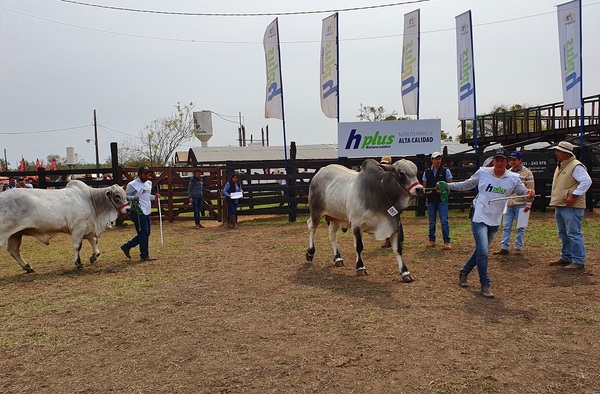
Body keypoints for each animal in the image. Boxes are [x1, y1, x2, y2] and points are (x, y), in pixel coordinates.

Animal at [0, 180, 130, 272]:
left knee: (14, 250)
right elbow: (78, 246)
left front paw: (94, 256)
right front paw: (78, 263)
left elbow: (94, 241)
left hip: (15, 234)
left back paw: (28, 267)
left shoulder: (88, 228)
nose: (128, 209)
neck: (90, 200)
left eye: (124, 194)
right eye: (117, 196)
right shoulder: (78, 228)